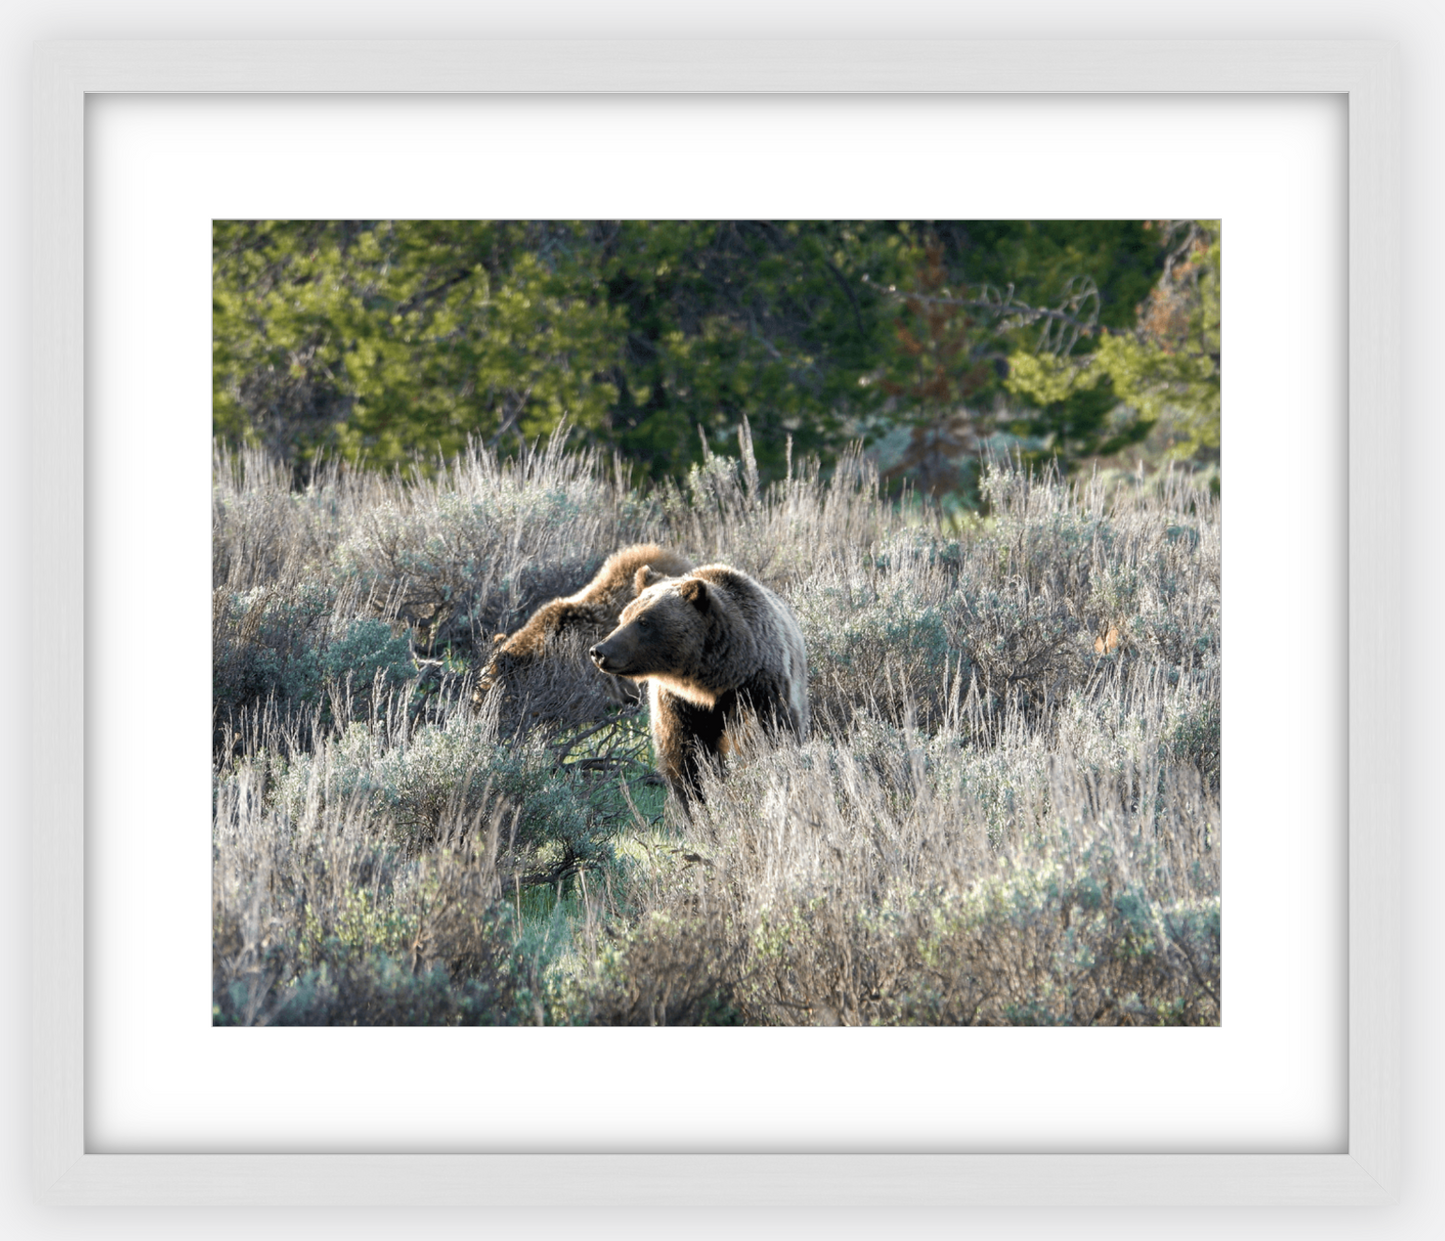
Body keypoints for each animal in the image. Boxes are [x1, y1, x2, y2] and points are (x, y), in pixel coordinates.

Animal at [589, 563, 814, 803]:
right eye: (623, 617)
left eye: (643, 621)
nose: (599, 651)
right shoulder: (676, 702)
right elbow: (683, 756)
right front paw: (693, 799)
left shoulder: (757, 687)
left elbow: (767, 734)